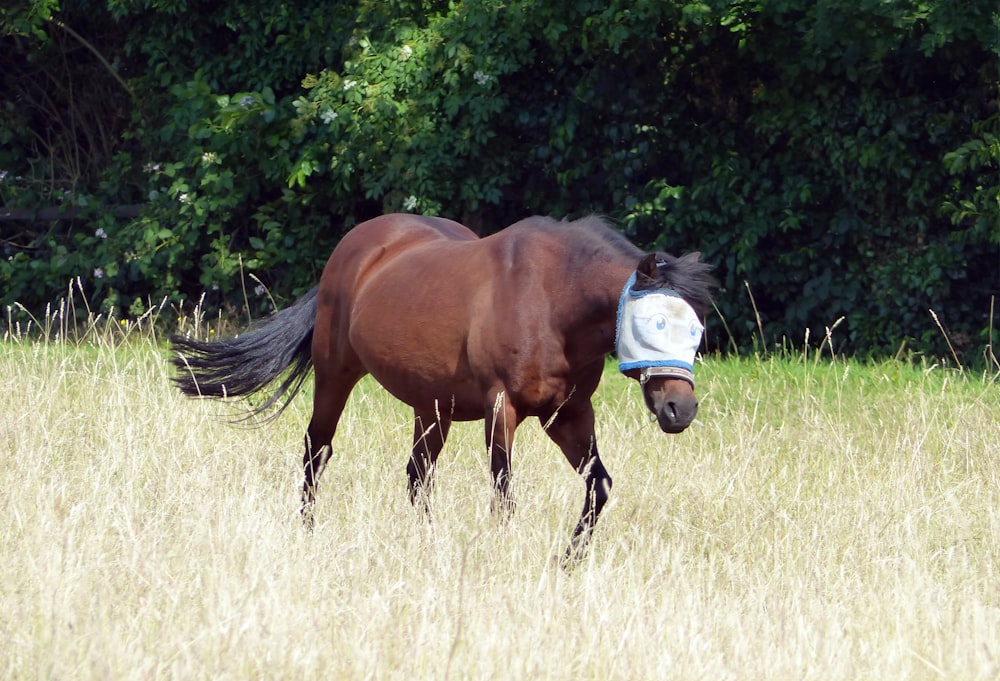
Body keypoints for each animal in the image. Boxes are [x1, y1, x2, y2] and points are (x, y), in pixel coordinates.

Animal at [174, 215, 720, 560]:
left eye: (697, 329)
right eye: (656, 323)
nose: (680, 409)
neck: (551, 300)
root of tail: (357, 246)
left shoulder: (567, 415)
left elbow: (597, 487)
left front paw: (569, 561)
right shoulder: (503, 410)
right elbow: (504, 493)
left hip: (432, 407)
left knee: (417, 476)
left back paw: (428, 545)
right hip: (335, 376)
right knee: (316, 451)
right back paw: (308, 533)